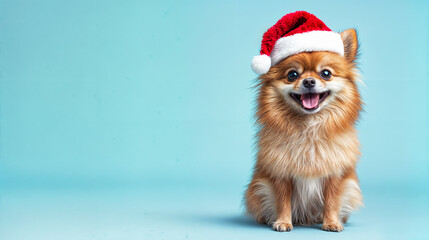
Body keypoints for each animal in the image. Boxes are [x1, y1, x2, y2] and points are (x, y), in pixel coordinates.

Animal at [244, 11, 362, 232]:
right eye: (292, 75)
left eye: (326, 73)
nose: (308, 81)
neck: (308, 127)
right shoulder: (281, 173)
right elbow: (283, 200)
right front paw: (282, 222)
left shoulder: (334, 174)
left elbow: (332, 200)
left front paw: (331, 222)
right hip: (257, 189)